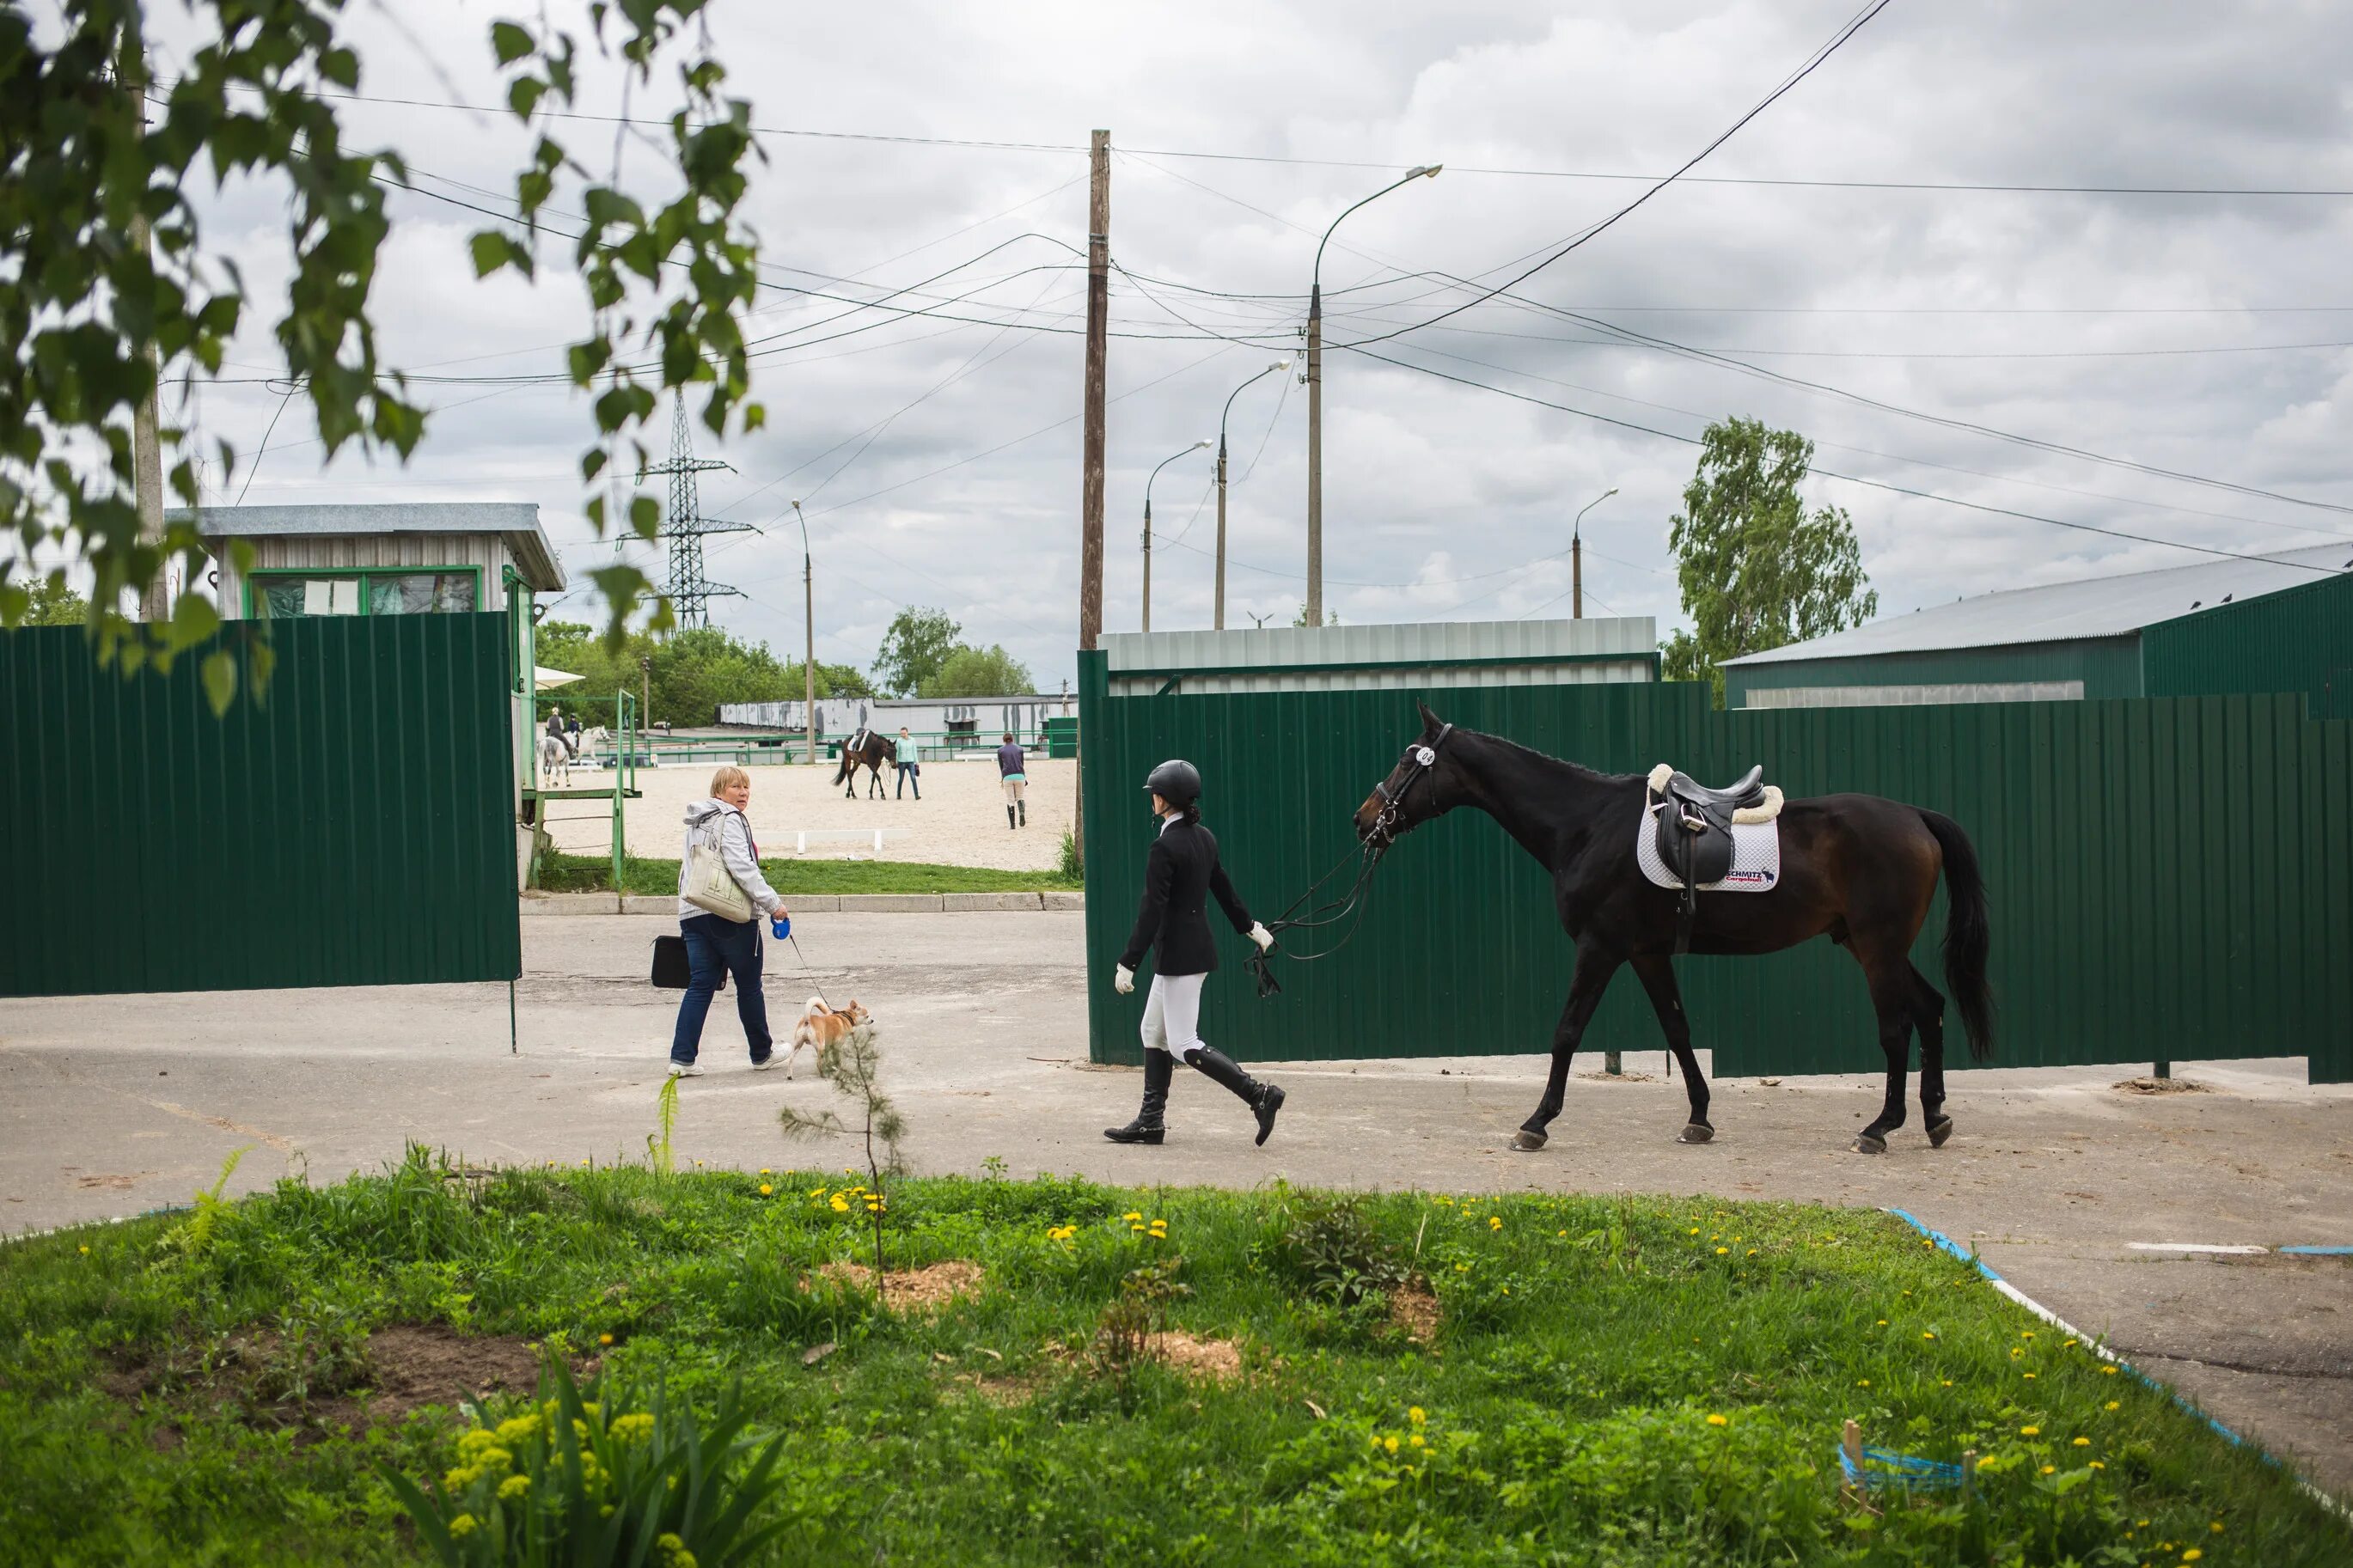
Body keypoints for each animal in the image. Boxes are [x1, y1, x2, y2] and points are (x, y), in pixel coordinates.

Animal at [1355, 705, 1995, 1161]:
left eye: (1409, 761)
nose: (1364, 819)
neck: (1585, 824)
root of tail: (1916, 817)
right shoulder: (1646, 953)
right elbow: (1678, 1029)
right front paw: (1699, 1118)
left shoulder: (1601, 948)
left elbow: (1567, 1032)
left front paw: (1536, 1122)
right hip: (1869, 944)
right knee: (1931, 1007)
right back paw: (1934, 1117)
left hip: (1878, 947)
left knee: (1896, 1027)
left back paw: (1880, 1127)